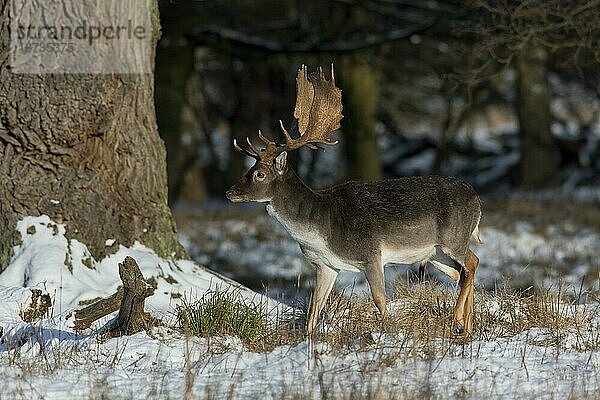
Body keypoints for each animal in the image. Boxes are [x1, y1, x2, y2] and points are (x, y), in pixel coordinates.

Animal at [226, 64, 482, 336]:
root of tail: (477, 200)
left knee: (472, 262)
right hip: (435, 253)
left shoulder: (371, 254)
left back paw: (458, 319)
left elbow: (380, 299)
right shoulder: (326, 266)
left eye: (259, 174)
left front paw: (388, 332)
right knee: (463, 272)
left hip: (454, 238)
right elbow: (314, 309)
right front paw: (308, 339)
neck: (321, 230)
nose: (230, 192)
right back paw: (467, 328)